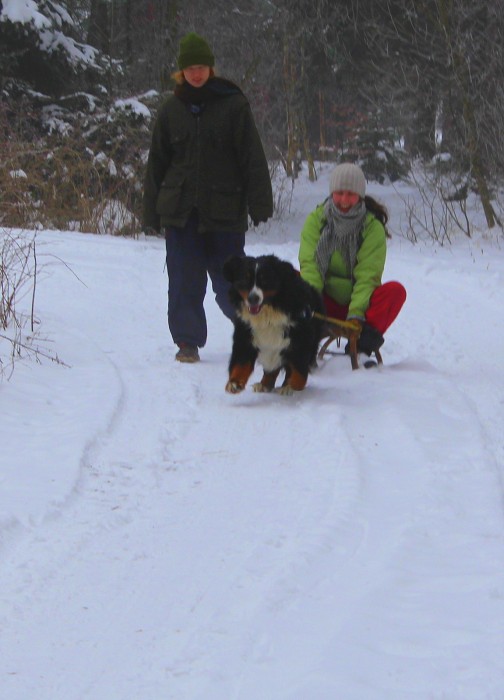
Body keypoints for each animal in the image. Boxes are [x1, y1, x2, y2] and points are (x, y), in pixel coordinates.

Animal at [222, 254, 324, 396]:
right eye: (245, 280)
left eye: (265, 280)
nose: (253, 298)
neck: (268, 314)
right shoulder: (246, 335)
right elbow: (240, 363)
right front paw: (234, 383)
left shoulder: (300, 340)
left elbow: (299, 372)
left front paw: (291, 386)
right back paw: (264, 384)